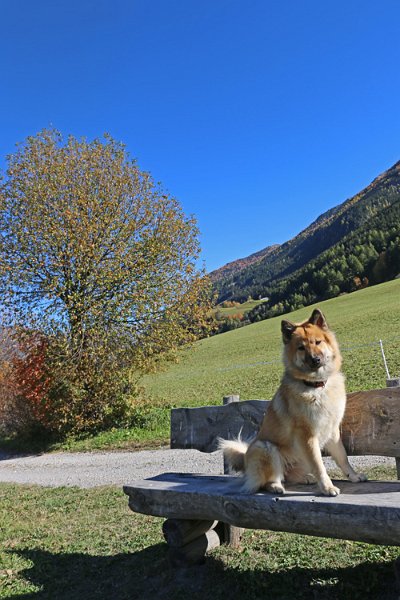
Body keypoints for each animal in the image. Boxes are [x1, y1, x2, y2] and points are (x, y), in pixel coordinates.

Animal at [220, 310, 368, 496]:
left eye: (318, 342)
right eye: (301, 348)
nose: (315, 359)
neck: (316, 386)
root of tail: (246, 460)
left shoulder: (332, 431)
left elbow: (343, 457)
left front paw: (354, 476)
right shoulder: (307, 436)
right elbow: (319, 466)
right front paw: (327, 487)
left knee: (289, 476)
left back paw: (305, 478)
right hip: (265, 447)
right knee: (268, 480)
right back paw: (276, 486)